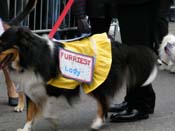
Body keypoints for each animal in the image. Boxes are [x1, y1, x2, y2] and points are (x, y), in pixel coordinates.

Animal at [0, 23, 157, 131]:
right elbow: (31, 112)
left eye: (3, 43)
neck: (30, 56)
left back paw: (98, 122)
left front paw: (53, 120)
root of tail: (118, 45)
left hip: (97, 82)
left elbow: (43, 110)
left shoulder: (53, 88)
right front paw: (26, 128)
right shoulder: (32, 88)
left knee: (103, 101)